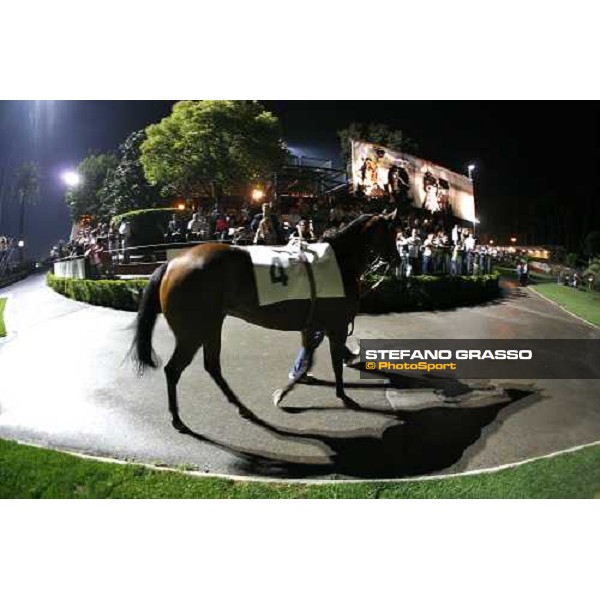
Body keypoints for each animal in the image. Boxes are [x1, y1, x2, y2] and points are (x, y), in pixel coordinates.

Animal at [134, 211, 400, 432]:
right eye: (391, 233)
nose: (397, 260)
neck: (337, 263)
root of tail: (171, 263)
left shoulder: (313, 325)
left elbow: (309, 357)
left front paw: (288, 389)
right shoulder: (337, 325)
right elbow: (332, 362)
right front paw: (341, 395)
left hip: (211, 325)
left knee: (211, 366)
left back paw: (241, 408)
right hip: (193, 332)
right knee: (174, 369)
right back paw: (177, 419)